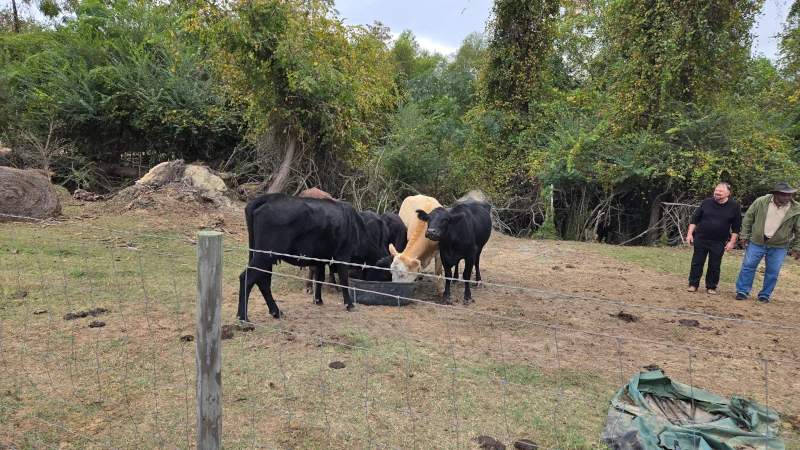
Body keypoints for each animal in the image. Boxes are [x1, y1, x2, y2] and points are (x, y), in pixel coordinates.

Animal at [238, 193, 390, 321]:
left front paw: (318, 300)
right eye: (387, 273)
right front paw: (350, 305)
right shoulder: (343, 255)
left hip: (266, 256)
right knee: (247, 278)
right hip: (265, 255)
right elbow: (344, 280)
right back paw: (243, 316)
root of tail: (267, 197)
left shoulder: (321, 258)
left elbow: (320, 278)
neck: (356, 227)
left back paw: (276, 311)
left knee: (263, 281)